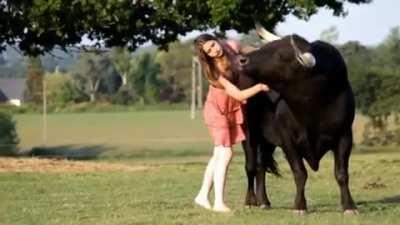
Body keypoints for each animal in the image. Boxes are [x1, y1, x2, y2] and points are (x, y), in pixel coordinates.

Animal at [234, 34, 356, 213]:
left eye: (280, 55)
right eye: (266, 47)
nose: (241, 60)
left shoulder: (345, 136)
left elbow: (341, 174)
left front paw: (349, 206)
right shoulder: (288, 141)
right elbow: (300, 173)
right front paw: (299, 206)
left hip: (267, 142)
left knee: (261, 166)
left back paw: (264, 201)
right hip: (249, 135)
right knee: (250, 166)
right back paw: (250, 201)